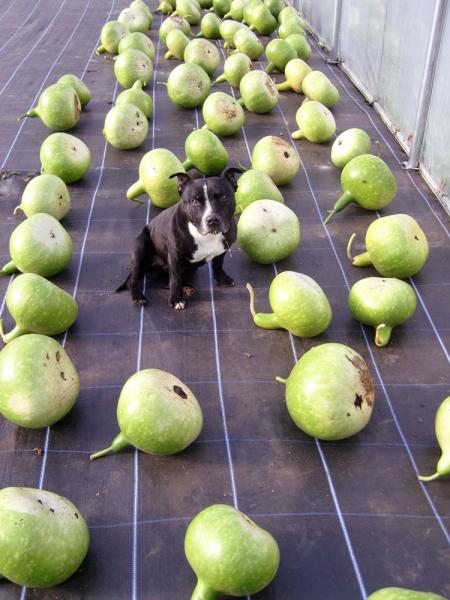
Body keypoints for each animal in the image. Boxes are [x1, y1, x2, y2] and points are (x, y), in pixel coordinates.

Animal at [117, 168, 243, 310]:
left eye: (223, 197)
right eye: (194, 201)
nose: (212, 220)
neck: (206, 235)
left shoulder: (222, 249)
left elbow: (218, 265)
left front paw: (223, 279)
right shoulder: (174, 257)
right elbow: (175, 279)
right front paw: (176, 299)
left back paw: (187, 286)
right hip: (140, 247)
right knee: (133, 279)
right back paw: (138, 296)